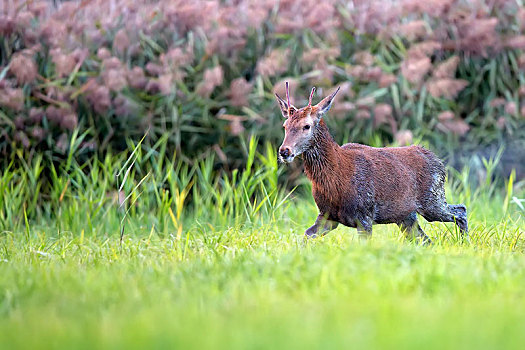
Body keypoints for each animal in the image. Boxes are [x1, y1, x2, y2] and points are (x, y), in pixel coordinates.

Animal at [276, 82, 468, 243]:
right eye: (285, 126)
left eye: (307, 126)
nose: (284, 151)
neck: (336, 178)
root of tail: (438, 162)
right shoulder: (327, 216)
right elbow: (304, 237)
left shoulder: (365, 214)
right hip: (407, 216)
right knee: (425, 239)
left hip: (432, 199)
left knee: (461, 210)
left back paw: (465, 242)